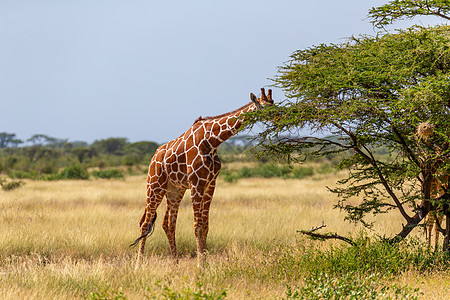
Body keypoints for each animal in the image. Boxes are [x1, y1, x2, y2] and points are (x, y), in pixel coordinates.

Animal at [132, 88, 274, 266]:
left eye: (274, 103)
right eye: (264, 107)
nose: (279, 116)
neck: (212, 141)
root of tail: (153, 156)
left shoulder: (210, 184)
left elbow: (205, 225)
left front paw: (205, 263)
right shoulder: (196, 183)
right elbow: (197, 225)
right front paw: (200, 264)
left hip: (174, 190)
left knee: (168, 224)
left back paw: (175, 263)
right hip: (154, 185)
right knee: (145, 223)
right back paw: (138, 264)